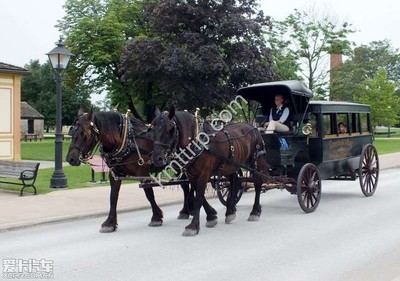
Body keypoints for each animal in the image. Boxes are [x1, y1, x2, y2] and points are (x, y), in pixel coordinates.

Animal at [65, 107, 212, 232]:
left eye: (84, 134)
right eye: (71, 132)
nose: (70, 159)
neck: (125, 140)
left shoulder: (143, 173)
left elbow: (149, 194)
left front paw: (156, 217)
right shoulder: (115, 174)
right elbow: (113, 196)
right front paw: (110, 222)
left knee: (188, 185)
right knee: (186, 186)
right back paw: (186, 210)